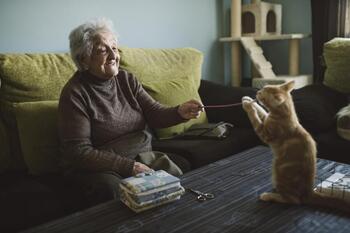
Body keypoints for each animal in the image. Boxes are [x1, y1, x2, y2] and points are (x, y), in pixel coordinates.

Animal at [242, 80, 350, 213]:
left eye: (262, 93)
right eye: (263, 88)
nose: (257, 92)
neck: (285, 114)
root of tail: (309, 192)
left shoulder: (265, 133)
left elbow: (256, 119)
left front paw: (248, 106)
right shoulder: (267, 118)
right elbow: (263, 112)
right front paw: (248, 100)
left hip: (279, 169)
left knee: (294, 200)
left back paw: (269, 196)